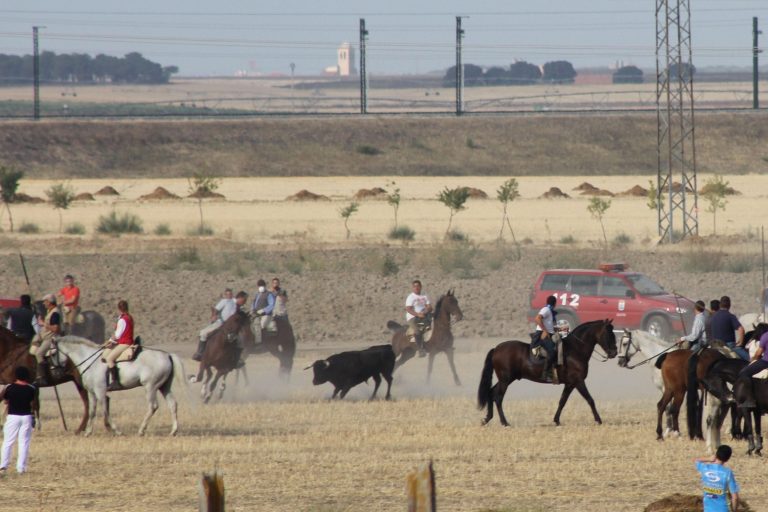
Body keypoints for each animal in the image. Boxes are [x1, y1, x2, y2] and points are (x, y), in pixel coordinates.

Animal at [54, 336, 187, 436]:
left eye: (53, 352)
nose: (56, 372)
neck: (90, 361)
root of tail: (167, 355)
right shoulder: (92, 392)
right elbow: (92, 411)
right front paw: (88, 432)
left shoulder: (100, 391)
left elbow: (105, 410)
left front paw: (116, 431)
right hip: (164, 386)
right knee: (172, 404)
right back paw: (173, 431)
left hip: (151, 387)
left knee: (153, 406)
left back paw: (141, 430)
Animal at [480, 320, 616, 428]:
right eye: (609, 335)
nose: (614, 353)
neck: (575, 350)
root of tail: (496, 349)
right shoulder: (578, 381)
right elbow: (590, 399)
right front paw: (598, 420)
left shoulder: (570, 384)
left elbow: (562, 401)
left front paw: (556, 420)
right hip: (505, 380)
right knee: (498, 397)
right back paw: (504, 422)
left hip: (505, 379)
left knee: (491, 392)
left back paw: (487, 419)